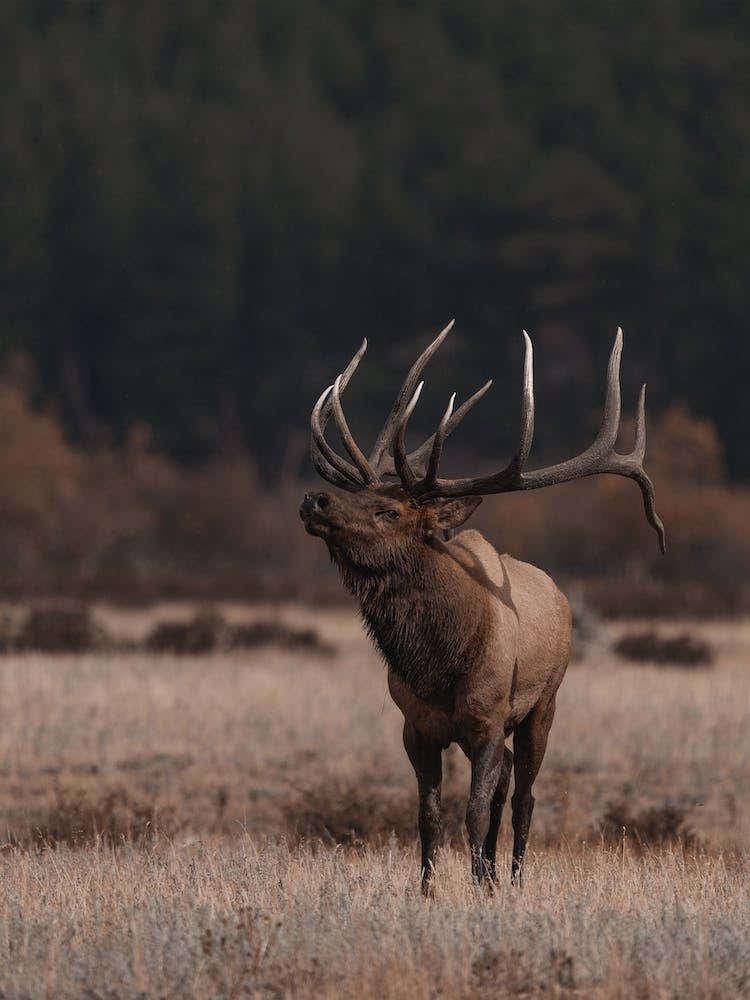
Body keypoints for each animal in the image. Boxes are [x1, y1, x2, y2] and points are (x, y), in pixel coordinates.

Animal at [299, 321, 665, 892]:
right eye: (361, 495)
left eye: (391, 510)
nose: (314, 500)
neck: (438, 663)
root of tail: (562, 597)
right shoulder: (417, 726)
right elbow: (428, 814)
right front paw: (430, 891)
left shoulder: (489, 719)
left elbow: (473, 809)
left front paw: (475, 888)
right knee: (507, 783)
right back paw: (492, 875)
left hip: (544, 703)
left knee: (524, 795)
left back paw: (510, 880)